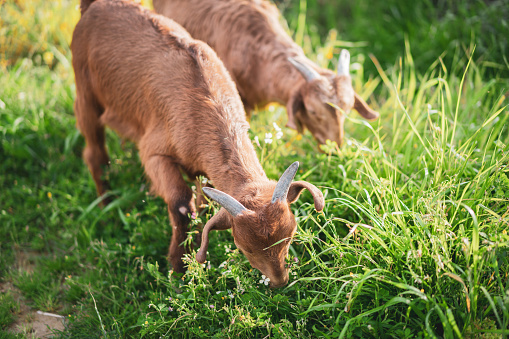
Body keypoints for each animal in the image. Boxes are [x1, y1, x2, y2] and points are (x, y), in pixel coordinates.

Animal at [71, 0, 324, 288]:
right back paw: (106, 205)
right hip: (85, 92)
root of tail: (94, 6)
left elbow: (202, 200)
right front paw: (178, 268)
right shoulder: (154, 153)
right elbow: (181, 203)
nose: (279, 280)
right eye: (243, 247)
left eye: (290, 234)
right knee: (95, 153)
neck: (204, 107)